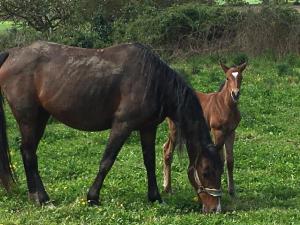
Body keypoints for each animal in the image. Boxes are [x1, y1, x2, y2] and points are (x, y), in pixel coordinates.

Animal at [0, 41, 223, 213]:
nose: (215, 209)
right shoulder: (122, 126)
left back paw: (35, 196)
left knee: (28, 153)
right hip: (29, 119)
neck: (153, 80)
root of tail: (13, 53)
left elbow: (150, 162)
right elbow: (106, 161)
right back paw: (42, 198)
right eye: (206, 172)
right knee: (29, 154)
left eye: (220, 171)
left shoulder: (148, 128)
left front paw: (155, 197)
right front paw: (92, 197)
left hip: (40, 118)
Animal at [164, 62, 246, 196]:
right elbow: (220, 158)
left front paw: (232, 190)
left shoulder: (231, 132)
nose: (235, 94)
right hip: (175, 129)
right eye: (227, 78)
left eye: (241, 77)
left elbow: (229, 161)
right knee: (168, 153)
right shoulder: (217, 131)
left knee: (164, 147)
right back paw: (168, 188)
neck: (225, 105)